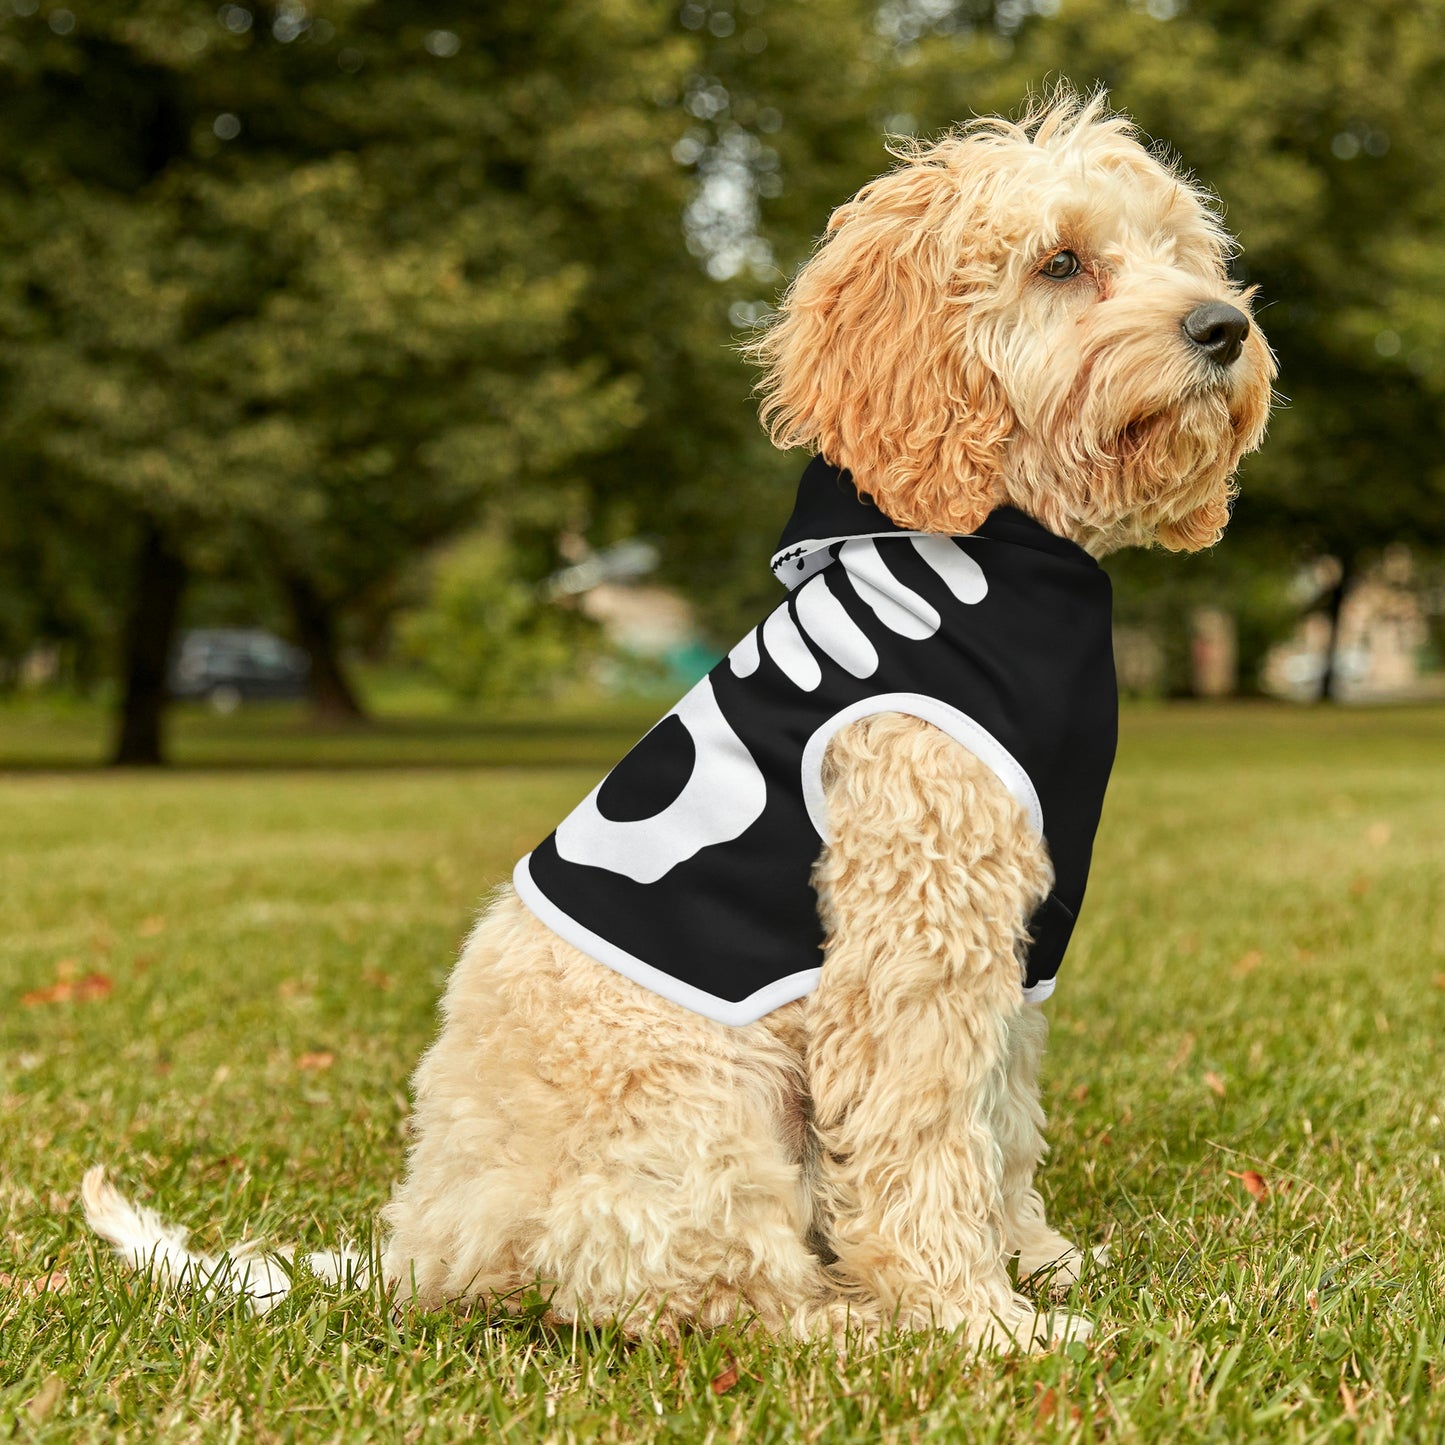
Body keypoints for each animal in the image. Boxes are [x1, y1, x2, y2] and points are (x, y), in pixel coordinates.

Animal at [84, 93, 1271, 1352]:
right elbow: (923, 1134)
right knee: (699, 1290)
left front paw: (1034, 1260)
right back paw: (851, 1323)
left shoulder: (1014, 940)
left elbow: (998, 1117)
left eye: (1180, 252)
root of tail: (425, 1245)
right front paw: (975, 1318)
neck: (997, 546)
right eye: (1059, 262)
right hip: (704, 1101)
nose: (1222, 327)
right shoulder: (912, 934)